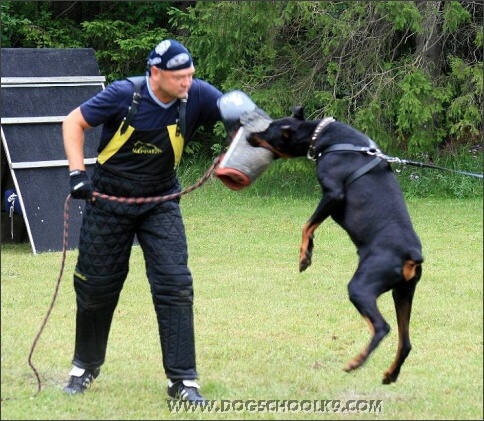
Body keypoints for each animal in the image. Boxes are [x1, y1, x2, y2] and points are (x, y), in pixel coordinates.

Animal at [248, 106, 422, 382]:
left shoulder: (333, 194)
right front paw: (308, 252)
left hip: (362, 287)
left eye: (267, 132)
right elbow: (310, 226)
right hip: (403, 293)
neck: (322, 136)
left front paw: (304, 257)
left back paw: (356, 362)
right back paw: (390, 375)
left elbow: (306, 225)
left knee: (382, 328)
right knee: (405, 342)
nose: (249, 136)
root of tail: (412, 254)